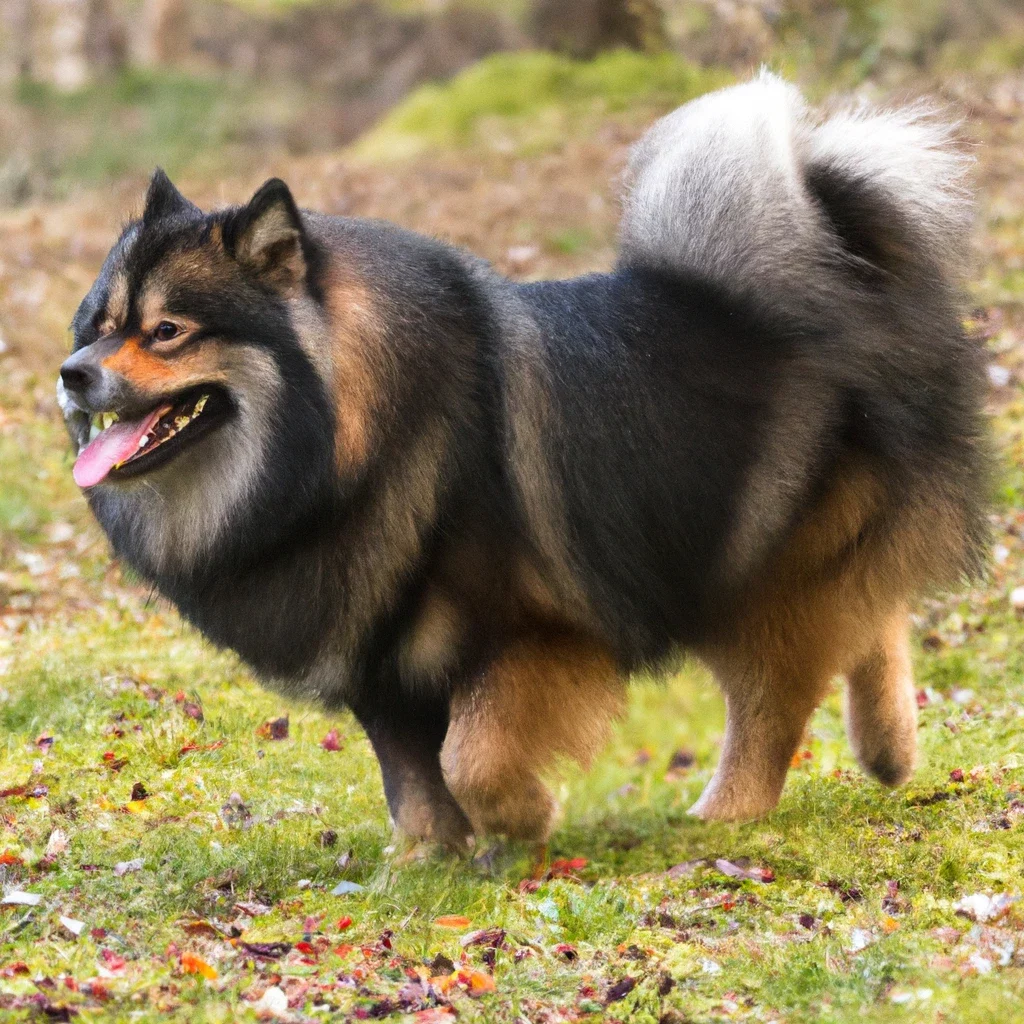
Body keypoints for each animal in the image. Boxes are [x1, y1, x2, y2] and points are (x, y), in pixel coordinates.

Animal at [59, 74, 987, 847]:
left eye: (167, 331)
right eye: (99, 327)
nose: (71, 373)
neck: (344, 446)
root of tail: (825, 268)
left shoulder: (526, 633)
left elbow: (470, 759)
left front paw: (521, 822)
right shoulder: (378, 653)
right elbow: (410, 780)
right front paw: (427, 860)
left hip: (752, 567)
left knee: (781, 694)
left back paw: (729, 811)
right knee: (869, 613)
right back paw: (889, 749)